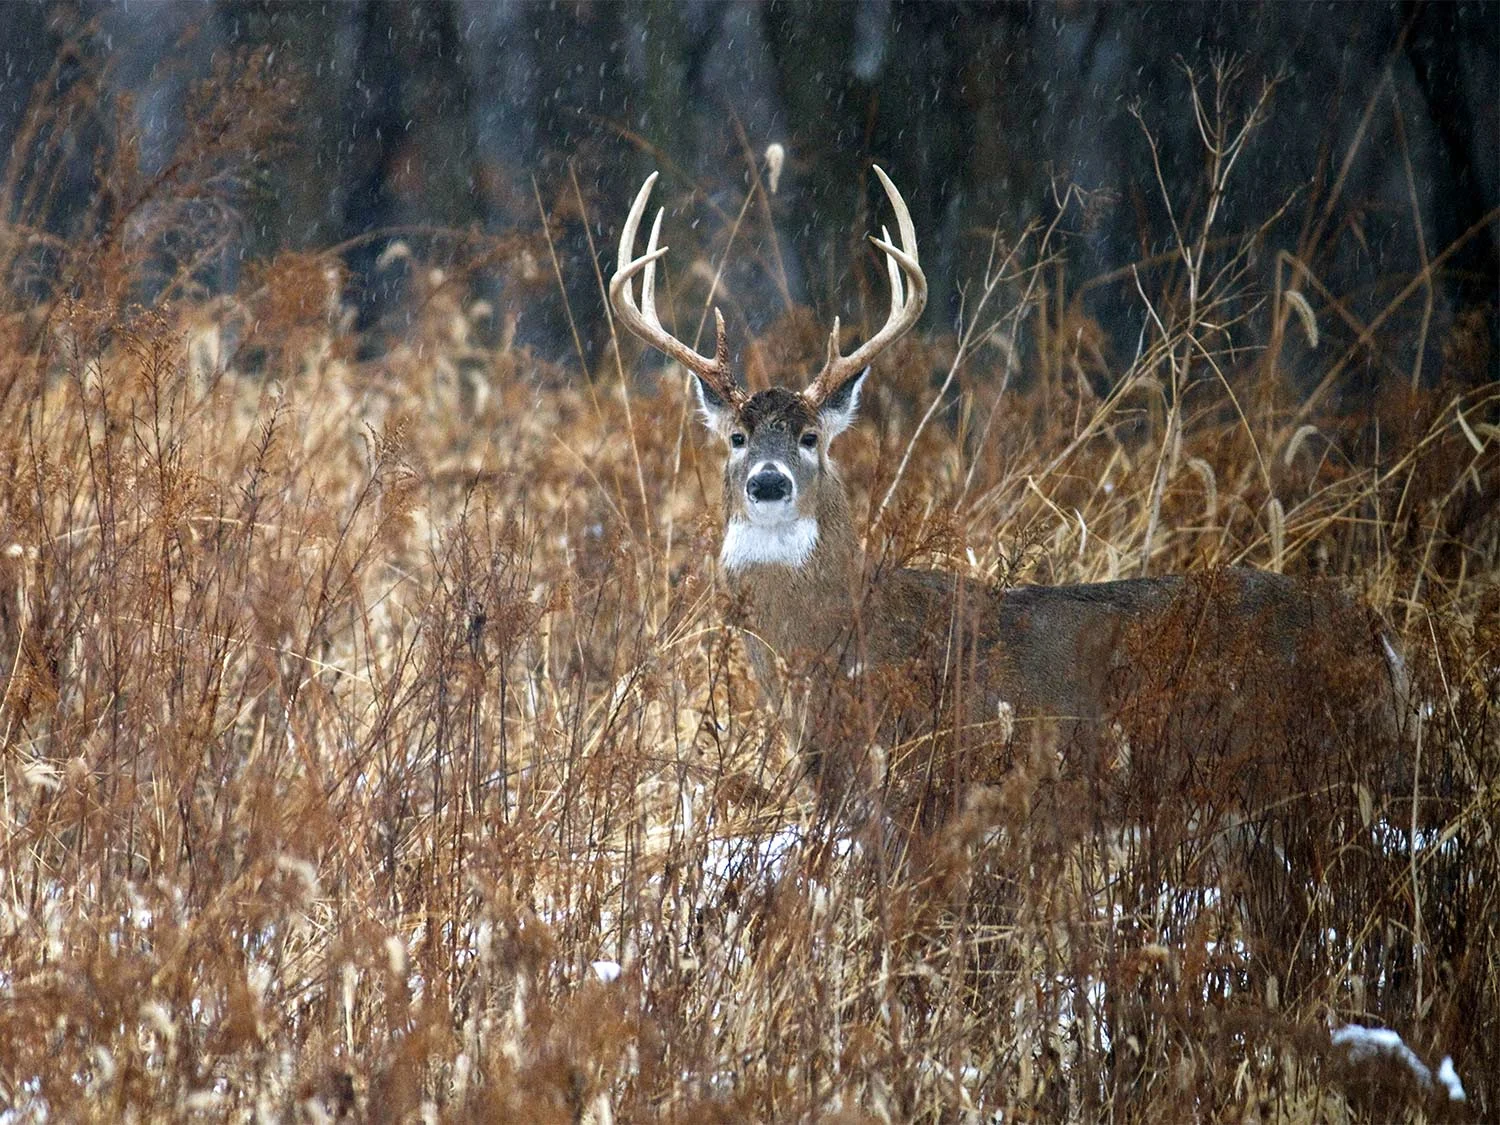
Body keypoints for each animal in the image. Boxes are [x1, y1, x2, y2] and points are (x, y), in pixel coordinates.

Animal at [608, 166, 1410, 859]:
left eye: (811, 438)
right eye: (737, 437)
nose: (769, 483)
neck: (842, 648)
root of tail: (1379, 639)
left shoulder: (929, 786)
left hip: (1294, 772)